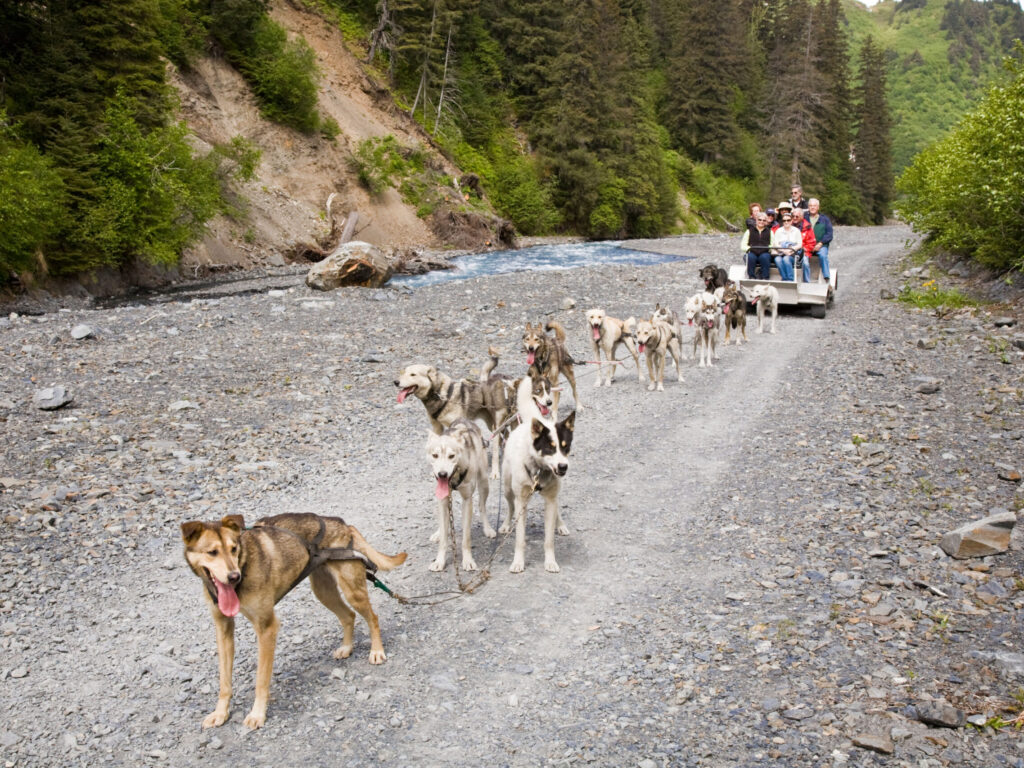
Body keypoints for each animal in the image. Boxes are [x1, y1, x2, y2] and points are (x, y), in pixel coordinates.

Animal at [182, 514, 405, 729]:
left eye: (234, 548)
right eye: (212, 552)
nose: (233, 576)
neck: (244, 564)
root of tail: (343, 524)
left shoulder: (266, 627)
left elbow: (261, 680)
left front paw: (257, 714)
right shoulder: (223, 629)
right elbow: (224, 682)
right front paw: (220, 713)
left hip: (352, 591)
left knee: (372, 618)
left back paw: (376, 651)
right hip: (323, 592)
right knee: (348, 616)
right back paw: (346, 647)